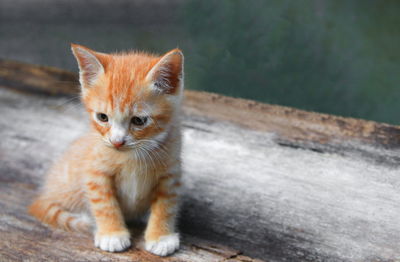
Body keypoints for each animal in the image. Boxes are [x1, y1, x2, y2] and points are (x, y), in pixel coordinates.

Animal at [28, 43, 184, 256]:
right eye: (103, 117)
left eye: (139, 120)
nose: (117, 142)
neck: (133, 156)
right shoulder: (95, 173)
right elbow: (104, 204)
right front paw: (112, 234)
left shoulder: (170, 175)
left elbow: (165, 206)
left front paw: (161, 236)